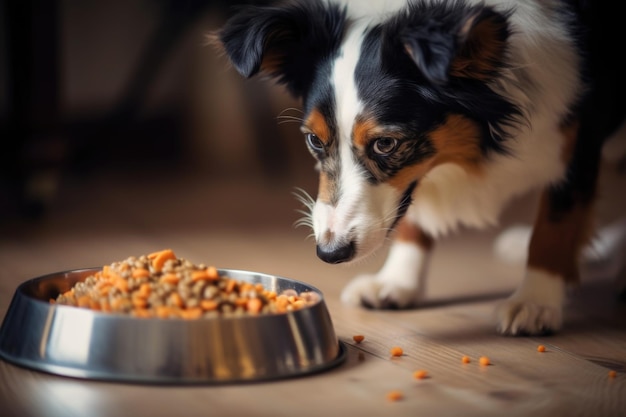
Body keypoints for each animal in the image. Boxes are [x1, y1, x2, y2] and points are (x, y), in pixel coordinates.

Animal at [212, 0, 620, 334]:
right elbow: (412, 214)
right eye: (314, 140)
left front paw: (536, 300)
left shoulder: (581, 133)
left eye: (385, 143)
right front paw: (396, 282)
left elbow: (556, 222)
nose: (329, 253)